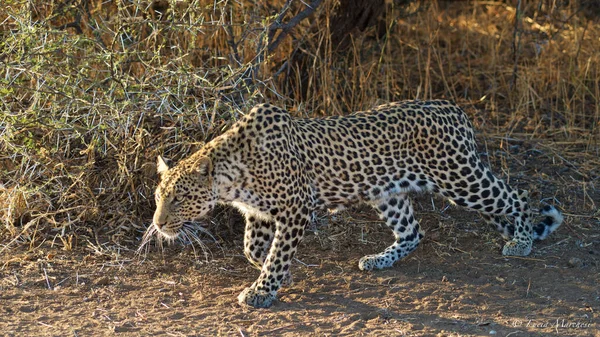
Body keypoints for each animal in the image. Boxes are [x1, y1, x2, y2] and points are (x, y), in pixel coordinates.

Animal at [149, 99, 564, 308]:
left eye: (179, 198)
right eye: (158, 197)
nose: (158, 223)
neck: (232, 178)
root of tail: (455, 109)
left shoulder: (296, 208)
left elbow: (278, 253)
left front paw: (264, 290)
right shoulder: (261, 214)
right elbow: (254, 249)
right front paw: (279, 275)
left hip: (460, 178)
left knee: (514, 197)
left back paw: (522, 240)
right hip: (388, 191)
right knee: (413, 231)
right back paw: (379, 260)